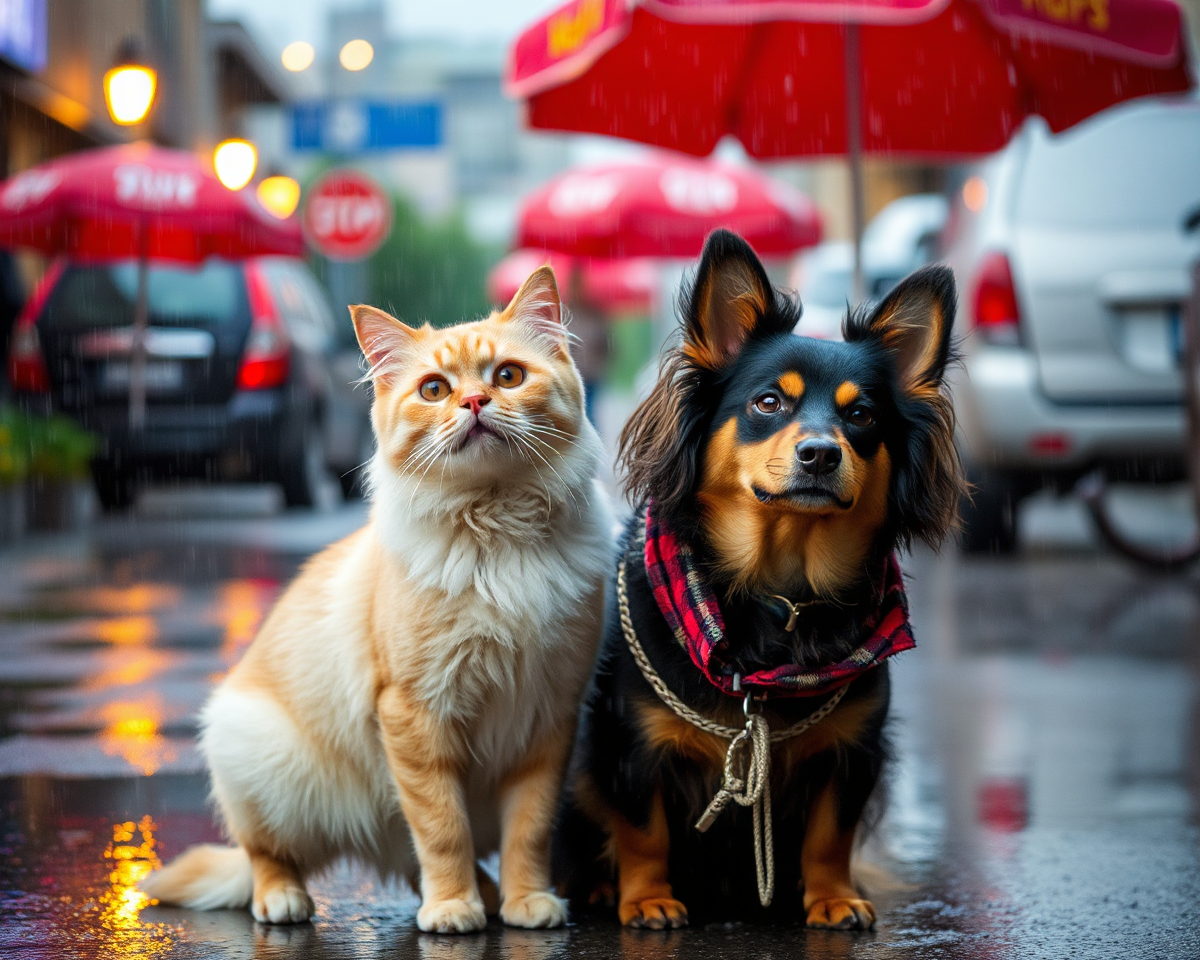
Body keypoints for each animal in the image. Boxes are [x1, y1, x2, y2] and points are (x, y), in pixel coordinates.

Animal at [140, 266, 614, 936]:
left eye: (508, 377)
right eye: (434, 389)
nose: (474, 403)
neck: (498, 531)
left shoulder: (548, 719)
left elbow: (529, 831)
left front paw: (527, 902)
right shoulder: (415, 712)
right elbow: (442, 829)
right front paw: (451, 911)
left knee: (412, 859)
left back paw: (490, 897)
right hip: (259, 761)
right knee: (270, 856)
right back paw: (289, 901)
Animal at [554, 226, 964, 931]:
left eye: (862, 417)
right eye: (769, 402)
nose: (820, 453)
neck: (780, 593)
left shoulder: (853, 754)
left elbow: (831, 835)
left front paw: (831, 898)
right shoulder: (627, 742)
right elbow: (642, 830)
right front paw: (648, 898)